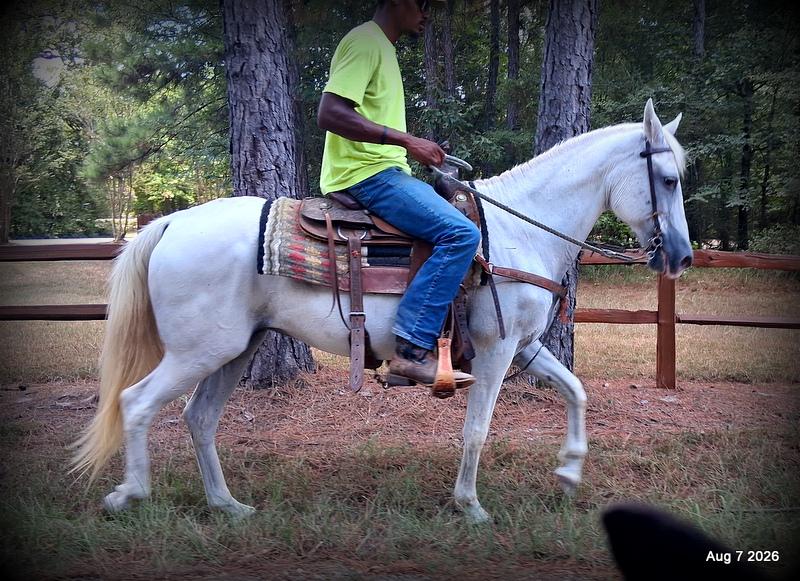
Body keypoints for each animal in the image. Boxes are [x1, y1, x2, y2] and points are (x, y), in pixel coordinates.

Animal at [71, 99, 692, 524]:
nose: (682, 256)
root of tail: (171, 222)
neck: (517, 234)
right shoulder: (494, 352)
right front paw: (470, 505)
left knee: (199, 418)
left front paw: (568, 472)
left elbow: (575, 390)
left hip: (234, 349)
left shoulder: (526, 347)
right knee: (137, 403)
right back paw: (130, 493)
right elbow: (476, 428)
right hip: (199, 350)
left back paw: (229, 506)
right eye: (668, 179)